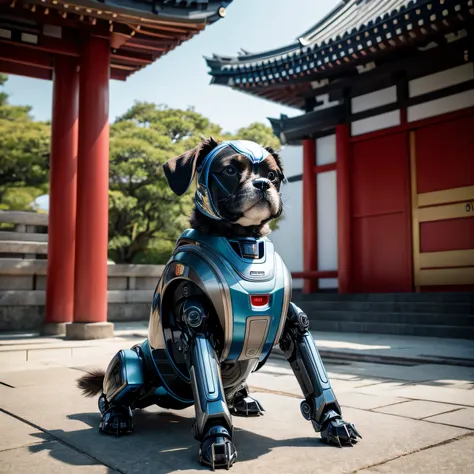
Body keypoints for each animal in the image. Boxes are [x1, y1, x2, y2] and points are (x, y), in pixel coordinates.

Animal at [77, 138, 360, 470]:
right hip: (132, 363)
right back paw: (116, 417)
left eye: (273, 175)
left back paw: (244, 400)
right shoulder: (196, 321)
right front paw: (217, 441)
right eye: (229, 170)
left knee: (236, 387)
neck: (243, 241)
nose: (263, 184)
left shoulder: (293, 323)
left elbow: (317, 379)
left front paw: (334, 423)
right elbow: (211, 394)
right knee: (113, 389)